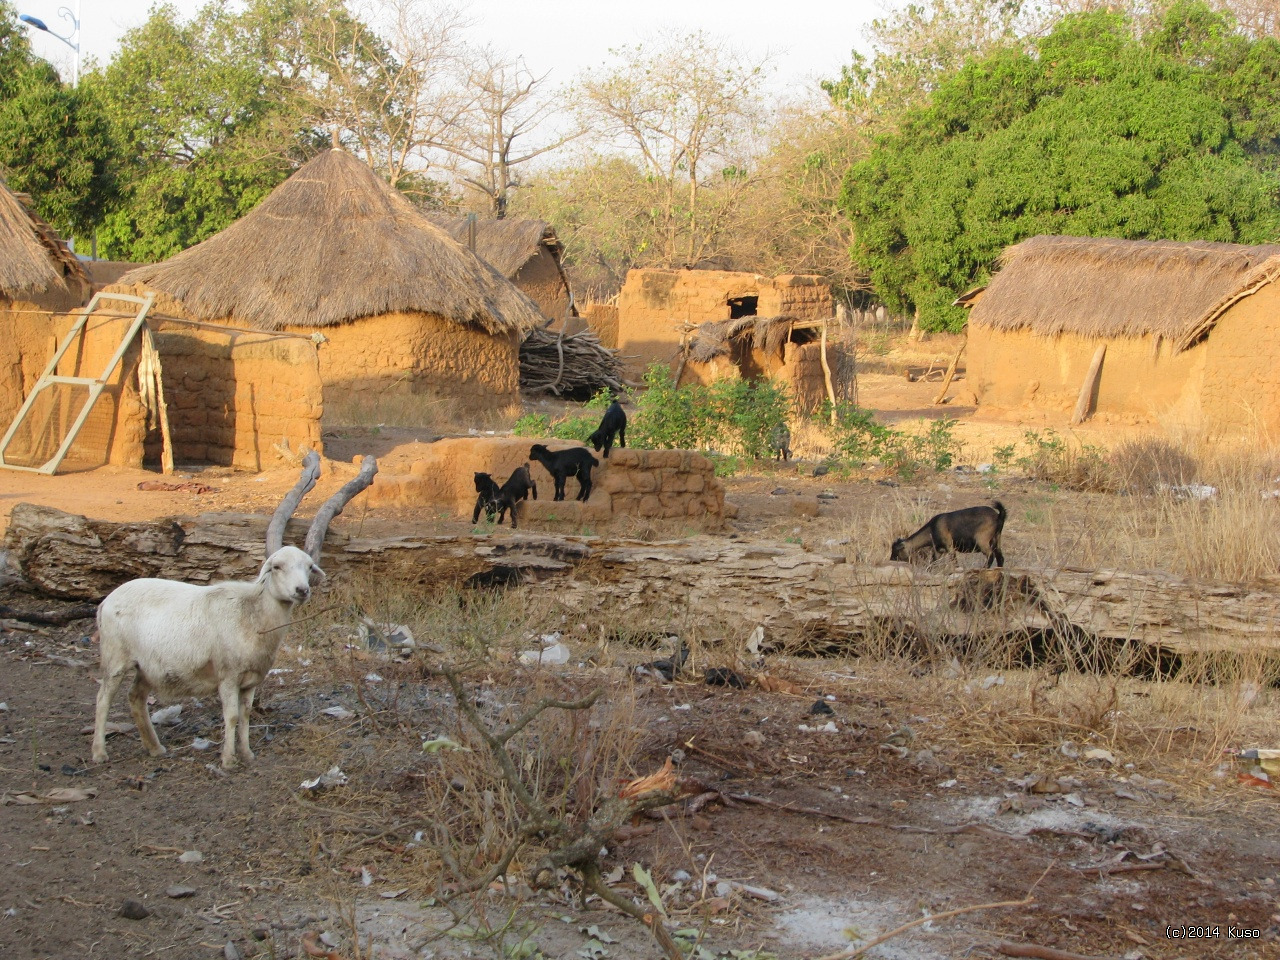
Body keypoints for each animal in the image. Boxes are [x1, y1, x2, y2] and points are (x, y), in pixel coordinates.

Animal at [90, 545, 325, 773]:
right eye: (276, 567)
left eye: (309, 566)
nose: (302, 590)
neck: (253, 612)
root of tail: (106, 601)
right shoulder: (228, 676)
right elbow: (232, 717)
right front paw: (228, 759)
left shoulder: (251, 679)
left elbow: (245, 715)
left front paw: (247, 753)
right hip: (115, 655)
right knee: (102, 700)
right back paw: (99, 752)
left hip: (148, 666)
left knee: (135, 697)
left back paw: (154, 747)